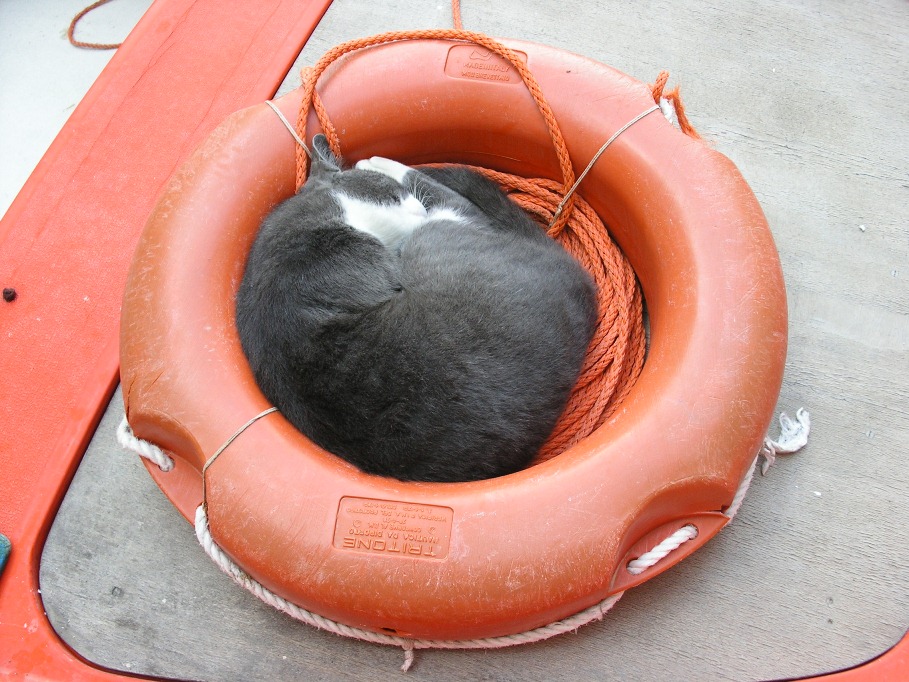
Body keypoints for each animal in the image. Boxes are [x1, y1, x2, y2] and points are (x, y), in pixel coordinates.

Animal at [234, 134, 596, 478]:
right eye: (397, 195)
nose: (417, 206)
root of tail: (578, 283)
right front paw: (382, 168)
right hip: (433, 236)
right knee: (456, 204)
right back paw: (383, 162)